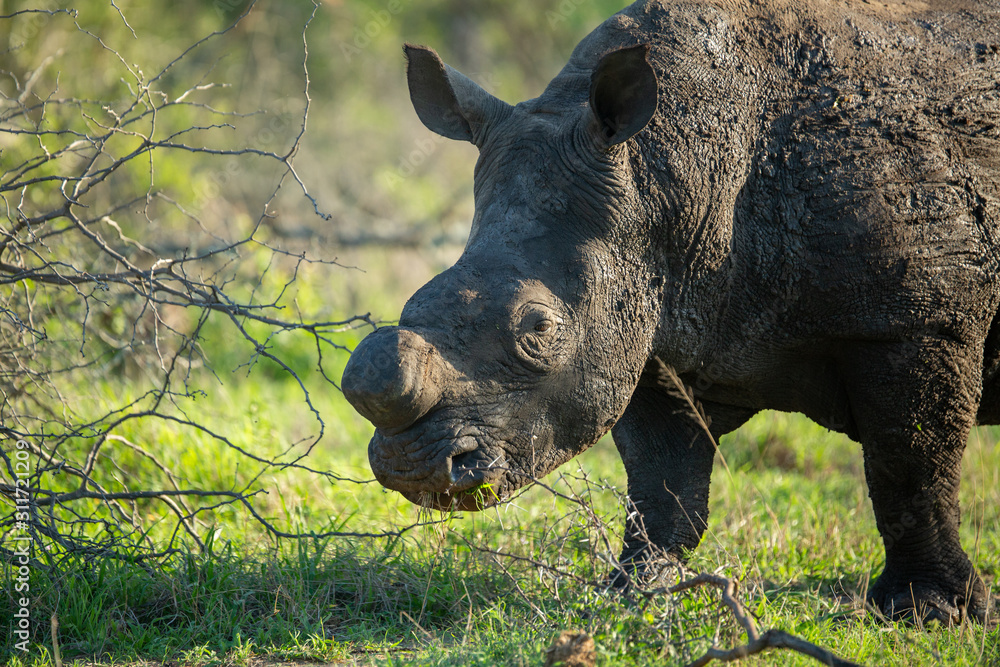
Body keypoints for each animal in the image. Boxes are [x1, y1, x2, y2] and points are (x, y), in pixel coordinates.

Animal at [342, 0, 999, 624]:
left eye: (539, 329)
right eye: (414, 302)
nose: (410, 468)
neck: (668, 172)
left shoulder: (918, 321)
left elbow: (909, 470)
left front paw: (928, 612)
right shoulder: (648, 325)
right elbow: (661, 482)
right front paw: (634, 592)